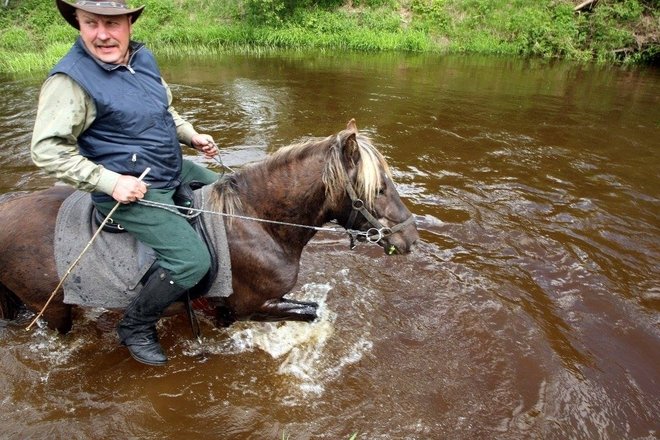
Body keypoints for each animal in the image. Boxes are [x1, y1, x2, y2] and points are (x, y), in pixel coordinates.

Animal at [0, 120, 420, 334]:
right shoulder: (249, 307)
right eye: (379, 188)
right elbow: (311, 311)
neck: (258, 223)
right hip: (52, 309)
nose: (410, 238)